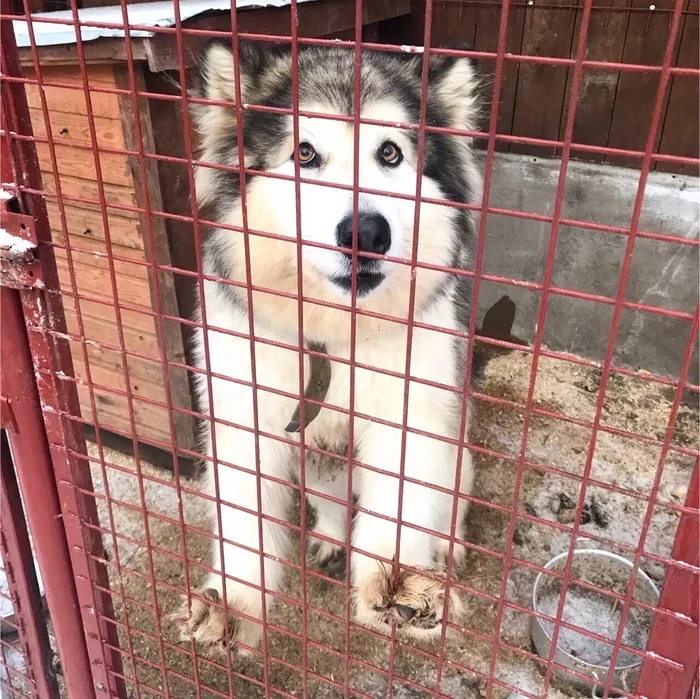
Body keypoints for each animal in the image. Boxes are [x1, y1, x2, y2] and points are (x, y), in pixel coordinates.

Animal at [179, 39, 482, 656]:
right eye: (305, 153)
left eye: (390, 152)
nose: (366, 233)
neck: (333, 337)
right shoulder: (244, 418)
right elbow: (244, 521)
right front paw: (234, 603)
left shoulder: (412, 421)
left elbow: (403, 506)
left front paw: (400, 581)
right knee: (336, 505)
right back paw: (331, 537)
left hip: (457, 446)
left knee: (452, 501)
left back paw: (447, 546)